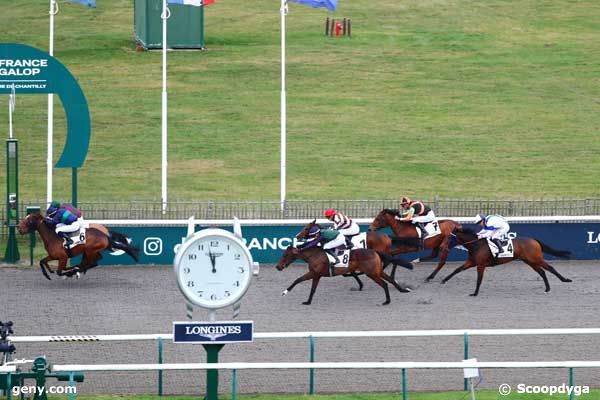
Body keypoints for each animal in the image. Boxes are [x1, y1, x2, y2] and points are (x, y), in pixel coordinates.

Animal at [440, 227, 572, 296]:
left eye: (449, 237)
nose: (442, 247)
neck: (476, 245)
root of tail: (534, 240)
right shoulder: (472, 262)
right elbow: (457, 269)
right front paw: (443, 280)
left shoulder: (481, 265)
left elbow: (479, 279)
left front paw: (475, 293)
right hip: (529, 261)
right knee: (542, 272)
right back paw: (547, 288)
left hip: (536, 259)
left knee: (550, 268)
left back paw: (565, 280)